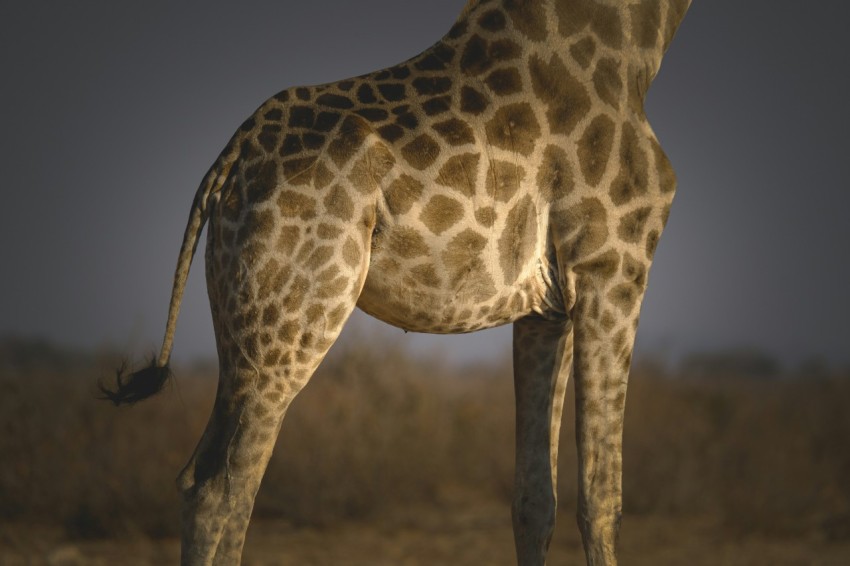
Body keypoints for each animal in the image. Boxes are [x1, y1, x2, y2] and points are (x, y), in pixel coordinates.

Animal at [101, 2, 688, 564]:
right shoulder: (612, 266)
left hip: (240, 324)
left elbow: (535, 500)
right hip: (292, 320)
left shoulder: (547, 306)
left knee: (196, 477)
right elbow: (602, 500)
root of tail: (229, 160)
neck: (640, 44)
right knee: (223, 488)